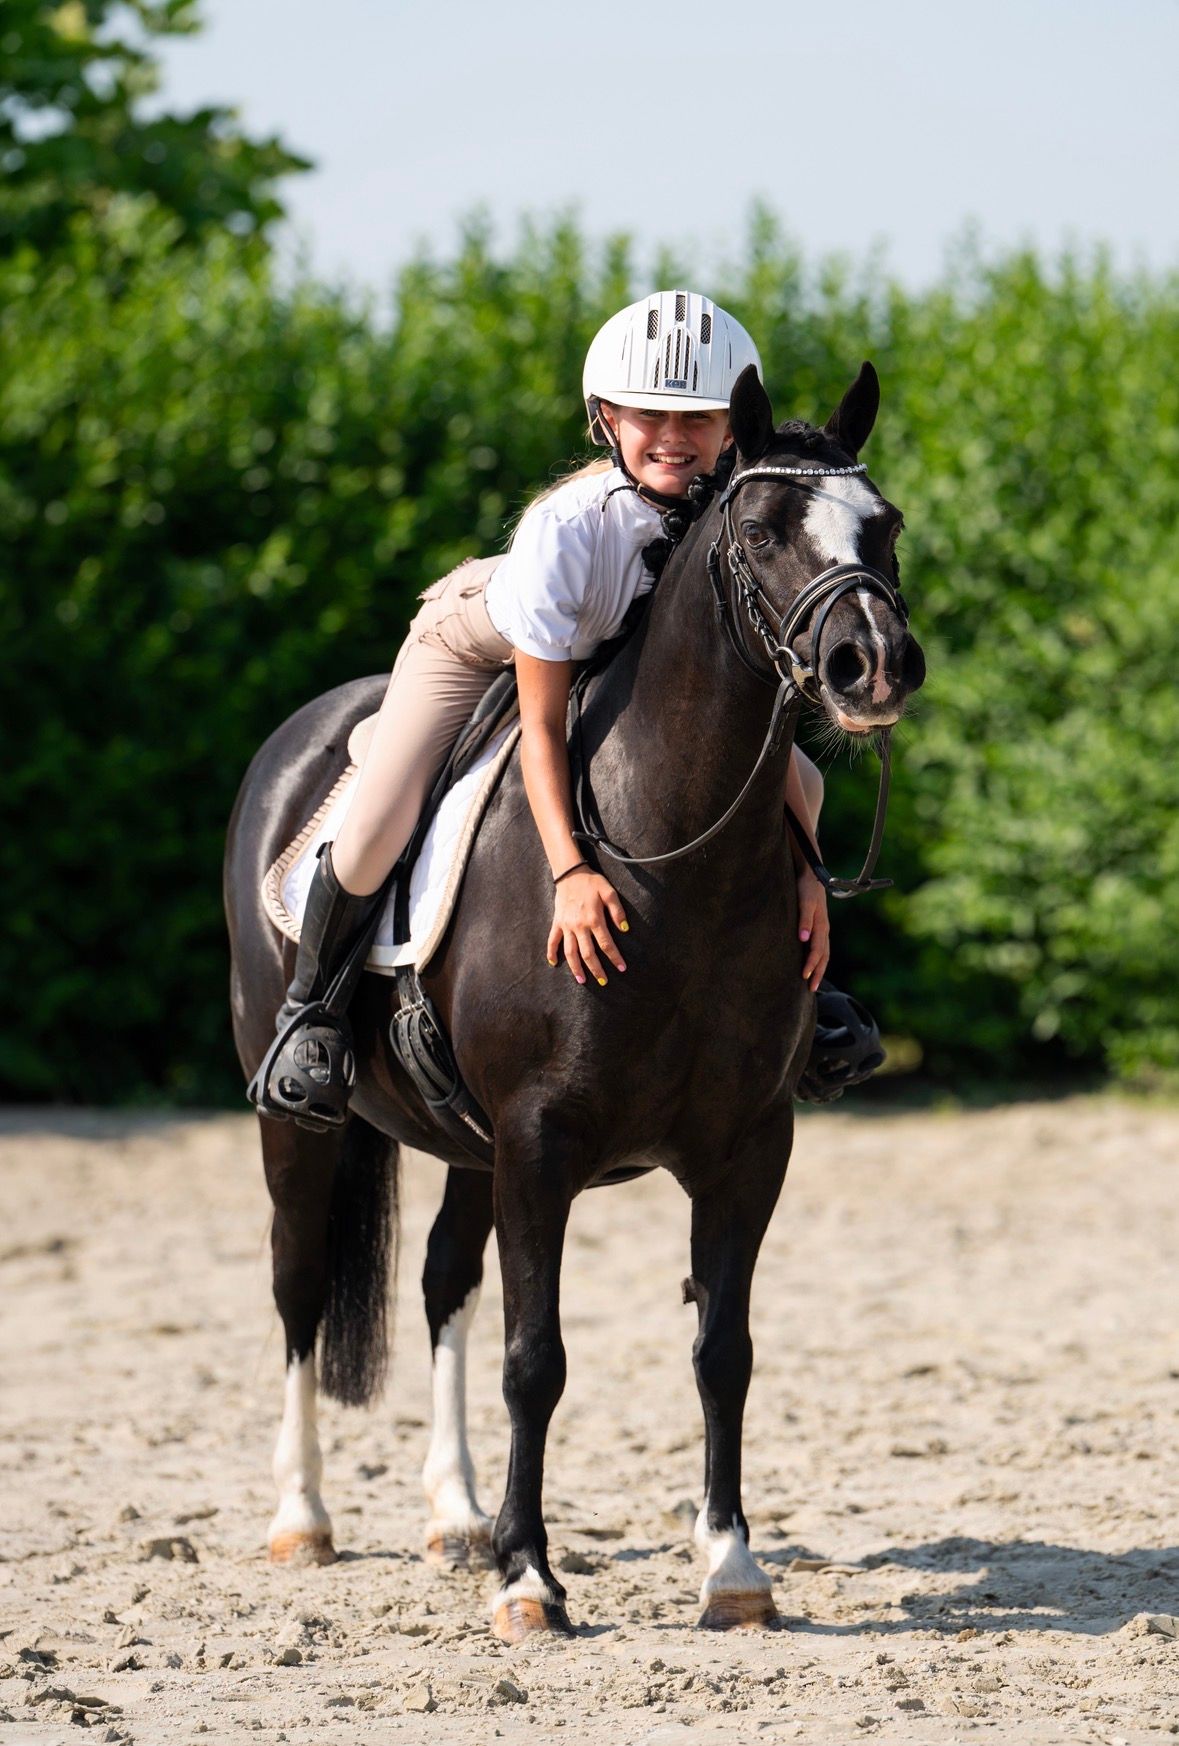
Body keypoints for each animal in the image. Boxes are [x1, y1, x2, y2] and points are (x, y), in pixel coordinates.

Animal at [223, 362, 925, 1642]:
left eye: (883, 524)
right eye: (761, 529)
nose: (877, 666)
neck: (673, 858)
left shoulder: (749, 1144)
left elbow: (723, 1348)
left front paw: (731, 1567)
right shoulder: (544, 1144)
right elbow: (536, 1360)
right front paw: (530, 1581)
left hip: (467, 1145)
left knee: (442, 1280)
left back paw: (455, 1517)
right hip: (301, 1123)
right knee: (297, 1282)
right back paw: (303, 1521)